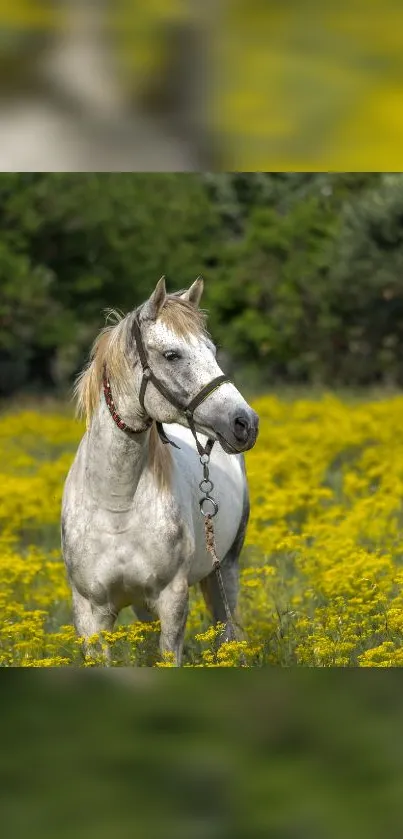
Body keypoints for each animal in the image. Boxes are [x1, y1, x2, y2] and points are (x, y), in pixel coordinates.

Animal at [62, 278, 258, 668]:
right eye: (172, 355)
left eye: (212, 350)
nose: (245, 423)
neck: (116, 503)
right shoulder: (91, 612)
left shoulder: (172, 601)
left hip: (225, 569)